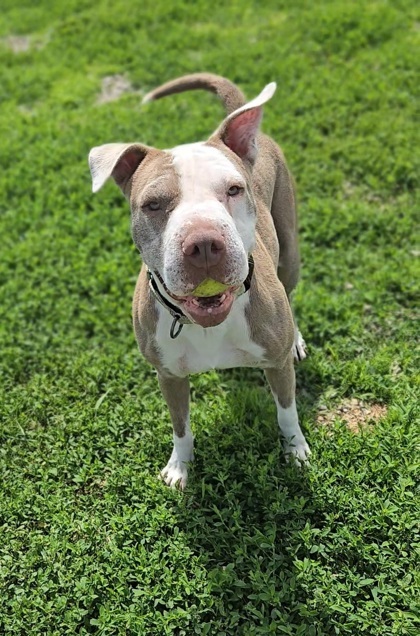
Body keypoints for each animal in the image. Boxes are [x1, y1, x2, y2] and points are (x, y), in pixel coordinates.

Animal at [88, 73, 310, 486]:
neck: (207, 323)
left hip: (290, 251)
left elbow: (287, 411)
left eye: (234, 189)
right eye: (153, 204)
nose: (204, 243)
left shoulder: (276, 365)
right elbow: (180, 426)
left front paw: (296, 450)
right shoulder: (168, 376)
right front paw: (180, 467)